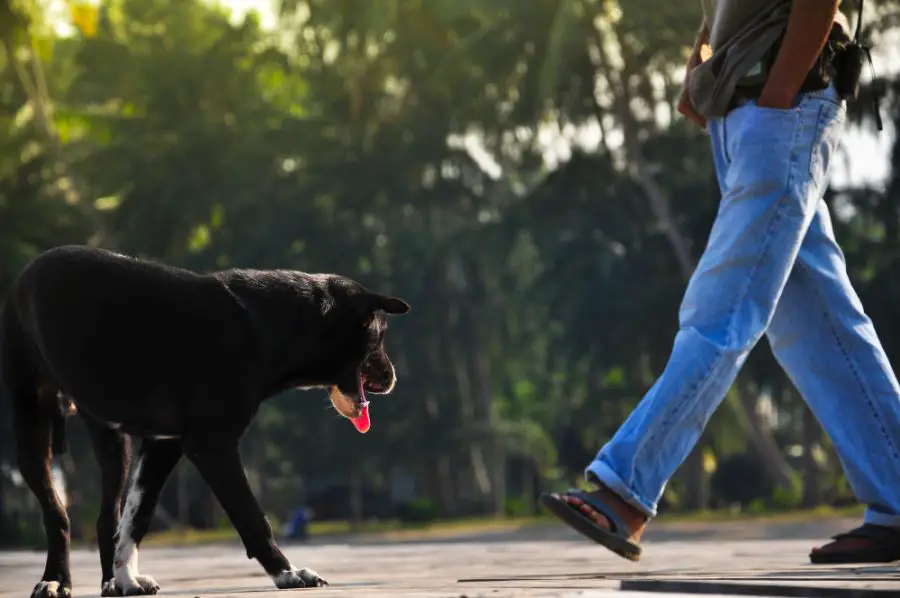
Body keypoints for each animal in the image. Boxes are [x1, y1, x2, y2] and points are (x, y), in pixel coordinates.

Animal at [0, 246, 408, 596]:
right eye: (380, 336)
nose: (392, 378)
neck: (274, 325)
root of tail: (29, 269)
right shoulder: (213, 446)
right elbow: (252, 516)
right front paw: (288, 573)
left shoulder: (163, 445)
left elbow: (135, 518)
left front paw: (127, 577)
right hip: (32, 428)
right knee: (57, 516)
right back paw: (55, 581)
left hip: (113, 441)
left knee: (107, 517)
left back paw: (110, 583)